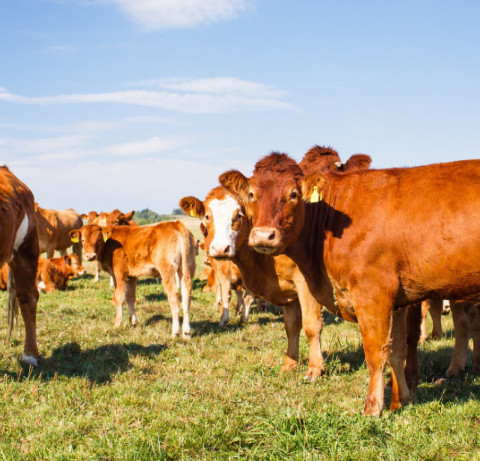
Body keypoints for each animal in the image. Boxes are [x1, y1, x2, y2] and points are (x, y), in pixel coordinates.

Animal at [219, 153, 480, 416]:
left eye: (293, 194)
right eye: (251, 194)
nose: (263, 235)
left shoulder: (372, 292)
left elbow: (375, 352)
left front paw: (373, 407)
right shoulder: (397, 300)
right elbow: (396, 351)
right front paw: (400, 401)